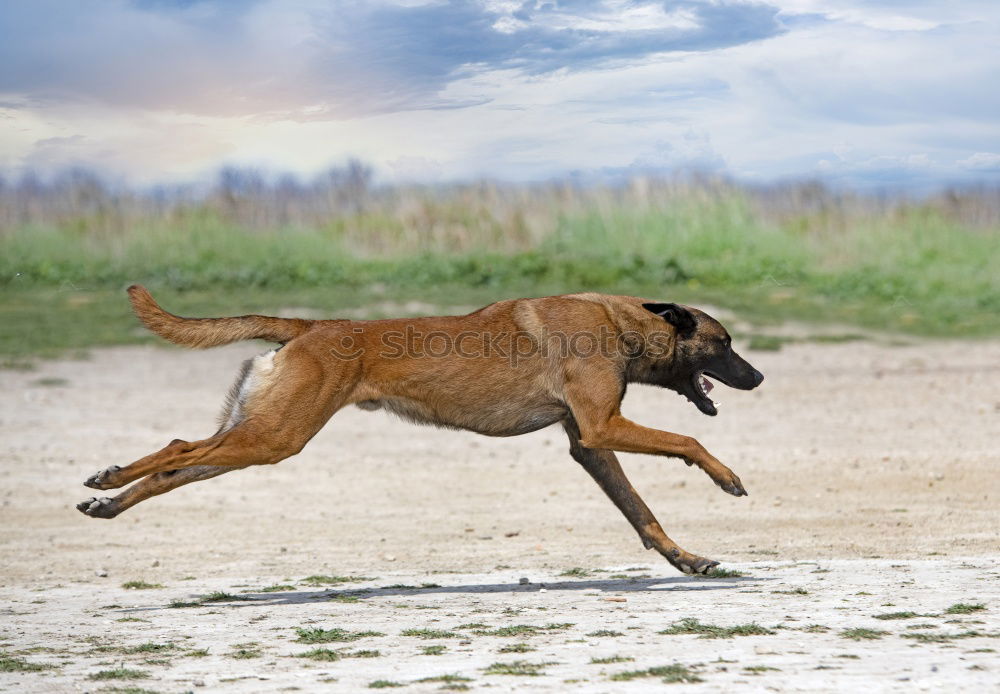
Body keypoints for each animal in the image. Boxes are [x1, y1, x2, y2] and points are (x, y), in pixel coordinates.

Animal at [80, 286, 764, 576]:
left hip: (258, 437)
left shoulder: (587, 444)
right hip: (274, 438)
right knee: (176, 448)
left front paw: (685, 558)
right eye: (724, 344)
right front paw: (727, 477)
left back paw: (109, 501)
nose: (758, 377)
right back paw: (108, 478)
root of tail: (310, 326)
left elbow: (641, 512)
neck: (623, 321)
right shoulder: (605, 427)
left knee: (178, 465)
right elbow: (689, 441)